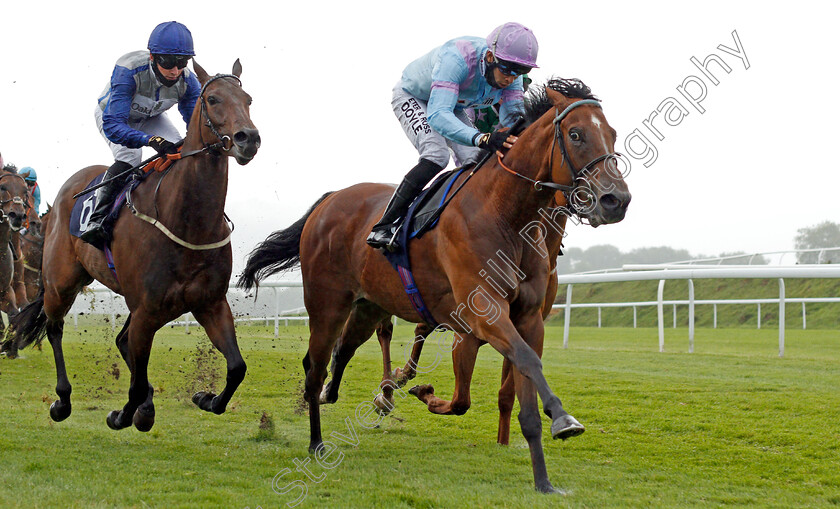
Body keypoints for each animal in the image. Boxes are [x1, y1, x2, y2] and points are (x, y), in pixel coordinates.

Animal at [3, 61, 260, 430]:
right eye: (212, 99)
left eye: (248, 99)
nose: (248, 139)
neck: (188, 220)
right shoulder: (147, 308)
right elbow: (135, 383)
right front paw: (121, 414)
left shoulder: (209, 303)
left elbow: (237, 367)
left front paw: (205, 398)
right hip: (61, 283)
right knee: (55, 329)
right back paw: (63, 401)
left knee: (122, 341)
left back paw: (146, 408)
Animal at [238, 77, 632, 490]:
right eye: (576, 134)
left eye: (612, 134)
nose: (616, 200)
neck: (506, 214)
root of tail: (329, 201)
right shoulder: (483, 315)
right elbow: (511, 368)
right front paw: (562, 418)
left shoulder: (527, 318)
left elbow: (520, 381)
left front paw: (543, 479)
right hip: (327, 304)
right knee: (315, 368)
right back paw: (317, 442)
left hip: (367, 306)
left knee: (340, 352)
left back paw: (352, 395)